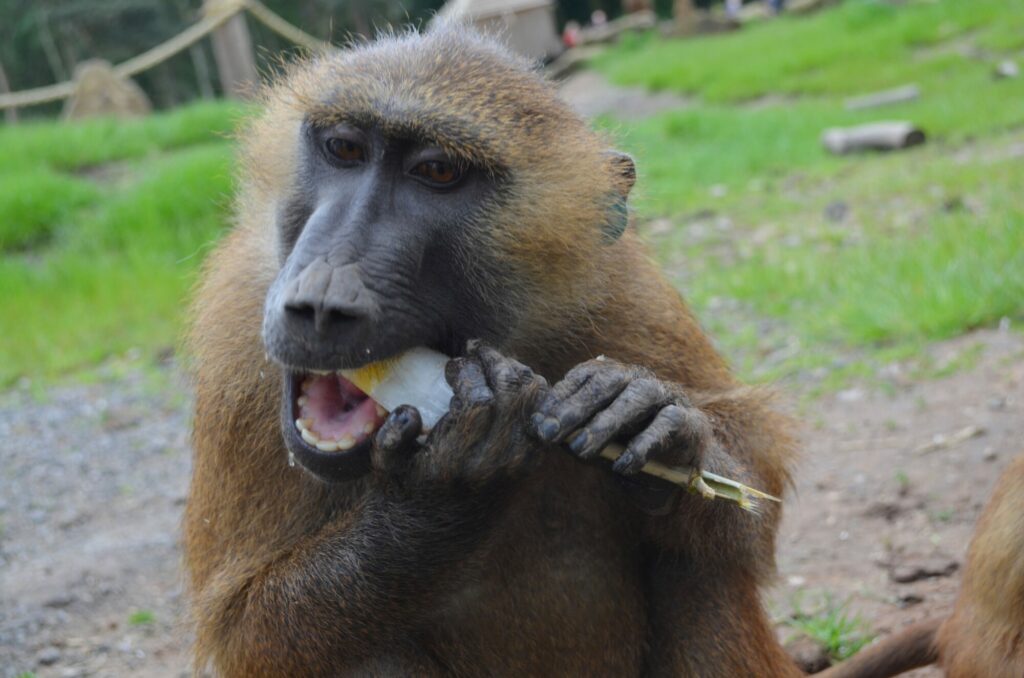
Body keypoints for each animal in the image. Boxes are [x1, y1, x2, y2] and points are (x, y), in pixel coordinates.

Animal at [184, 26, 803, 676]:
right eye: (345, 149)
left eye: (436, 171)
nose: (323, 303)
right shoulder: (237, 329)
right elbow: (244, 626)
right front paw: (442, 489)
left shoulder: (624, 288)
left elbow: (753, 502)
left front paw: (655, 420)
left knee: (701, 572)